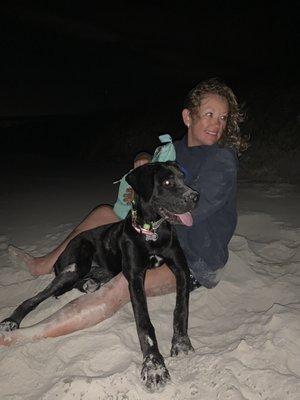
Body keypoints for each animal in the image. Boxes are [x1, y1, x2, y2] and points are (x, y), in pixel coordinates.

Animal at [0, 162, 199, 390]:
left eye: (183, 178)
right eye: (167, 182)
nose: (195, 196)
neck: (152, 234)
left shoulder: (181, 269)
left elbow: (181, 309)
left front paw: (181, 343)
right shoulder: (135, 278)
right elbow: (144, 323)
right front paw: (153, 366)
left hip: (99, 271)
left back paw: (89, 284)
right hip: (75, 266)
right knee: (34, 298)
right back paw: (11, 322)